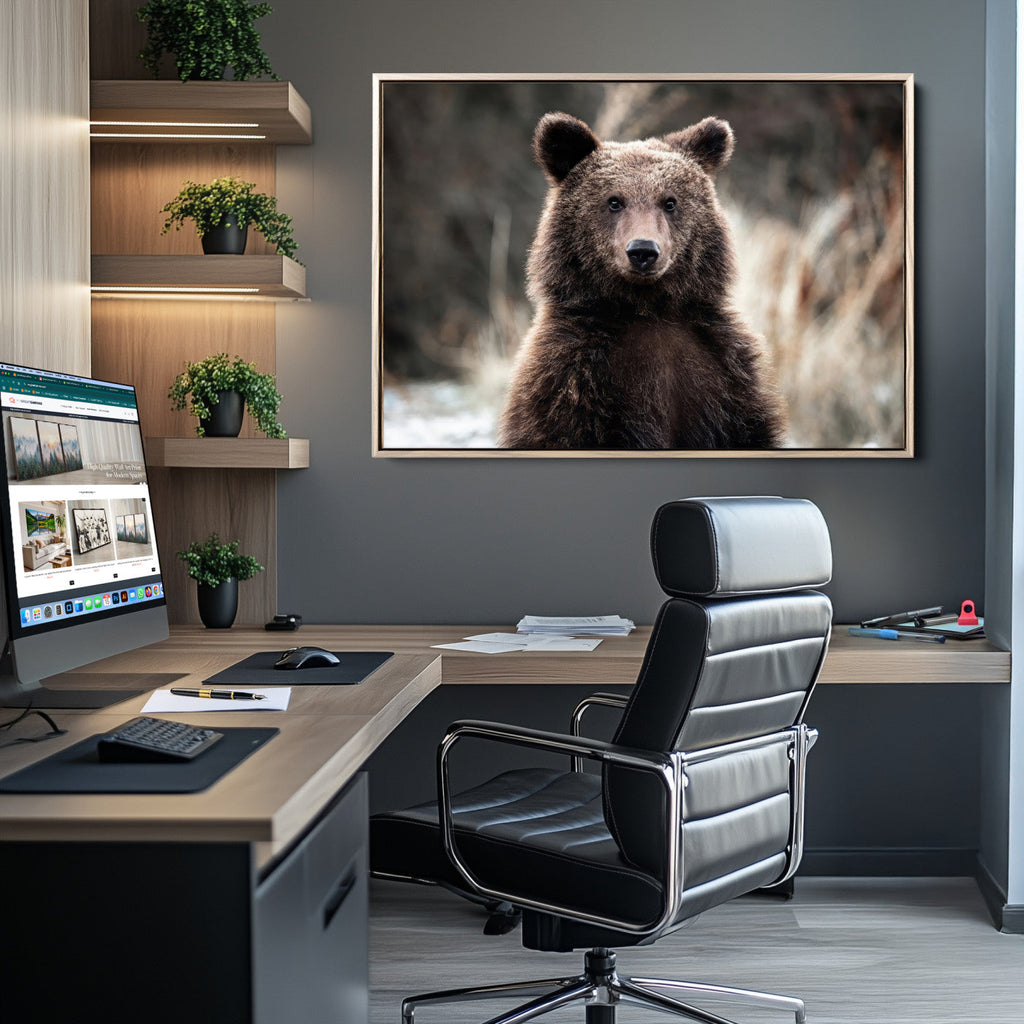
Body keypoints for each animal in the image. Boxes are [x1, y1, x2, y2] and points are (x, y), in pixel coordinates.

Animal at [497, 111, 785, 450]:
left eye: (670, 201)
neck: (647, 309)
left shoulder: (725, 377)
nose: (643, 251)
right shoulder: (571, 380)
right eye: (614, 201)